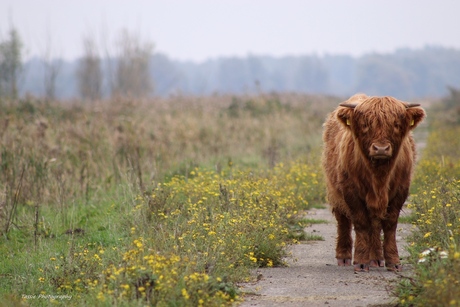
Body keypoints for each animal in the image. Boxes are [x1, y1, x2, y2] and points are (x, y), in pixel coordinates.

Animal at [322, 94, 426, 272]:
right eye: (365, 125)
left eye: (396, 124)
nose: (381, 149)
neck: (379, 176)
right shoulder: (351, 192)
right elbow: (361, 223)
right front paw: (361, 261)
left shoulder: (400, 191)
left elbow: (390, 225)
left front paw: (393, 261)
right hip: (335, 190)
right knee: (343, 221)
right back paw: (344, 257)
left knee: (376, 225)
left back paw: (376, 258)